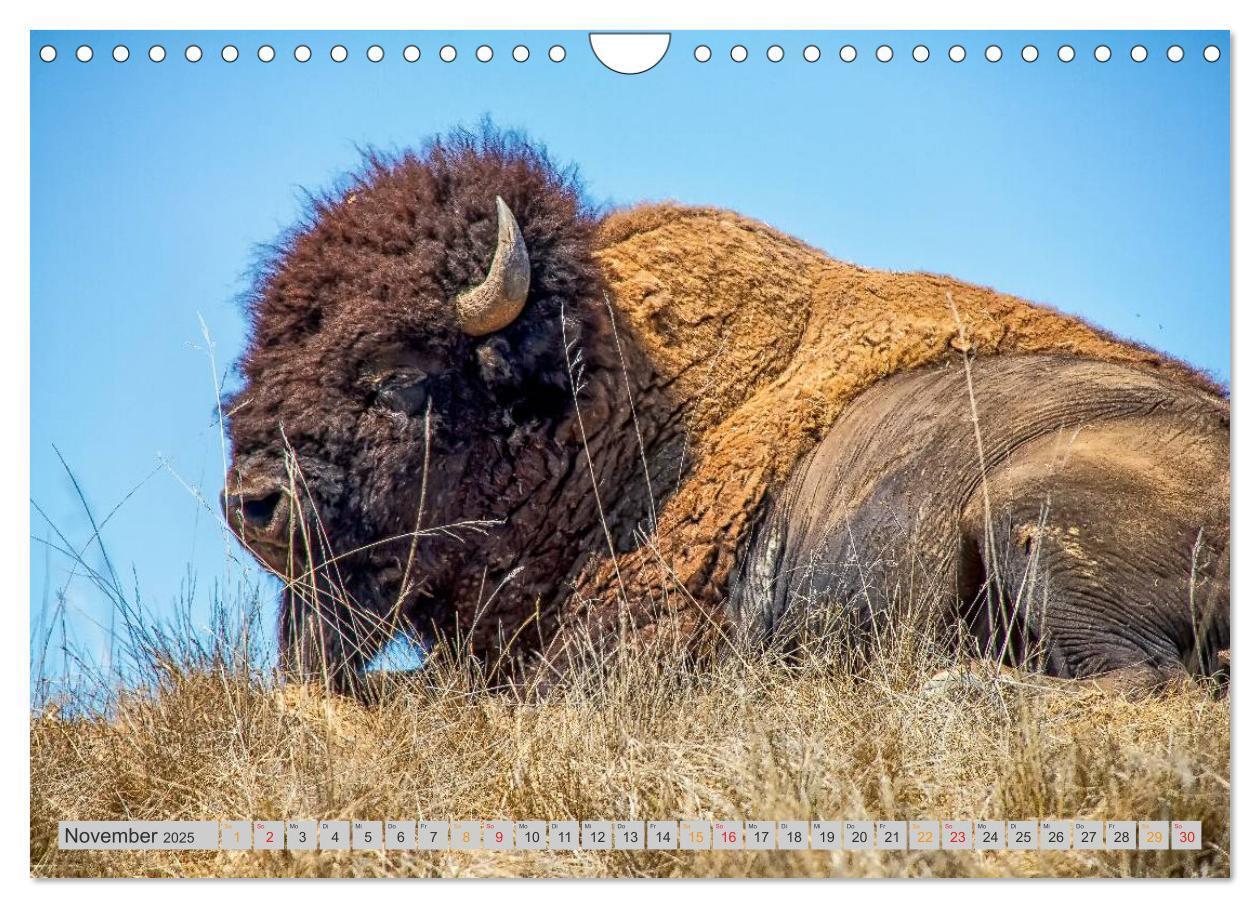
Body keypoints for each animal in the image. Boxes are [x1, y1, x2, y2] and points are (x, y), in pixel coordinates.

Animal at [221, 129, 1224, 695]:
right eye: (261, 360)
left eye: (399, 376)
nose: (253, 502)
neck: (617, 410)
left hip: (1024, 510)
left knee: (1141, 678)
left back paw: (954, 688)